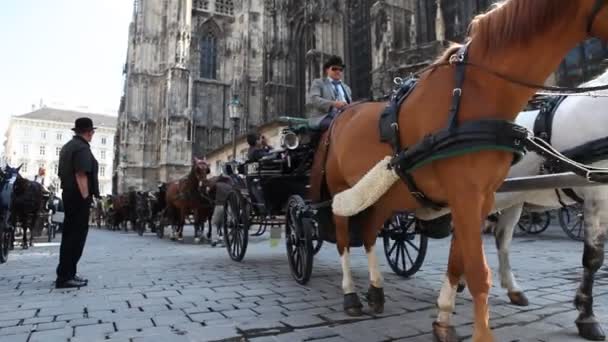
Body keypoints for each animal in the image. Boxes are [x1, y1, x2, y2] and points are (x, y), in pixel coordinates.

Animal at [436, 69, 608, 342]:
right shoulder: (597, 195)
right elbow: (593, 258)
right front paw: (587, 317)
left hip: (511, 198)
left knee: (500, 238)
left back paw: (508, 288)